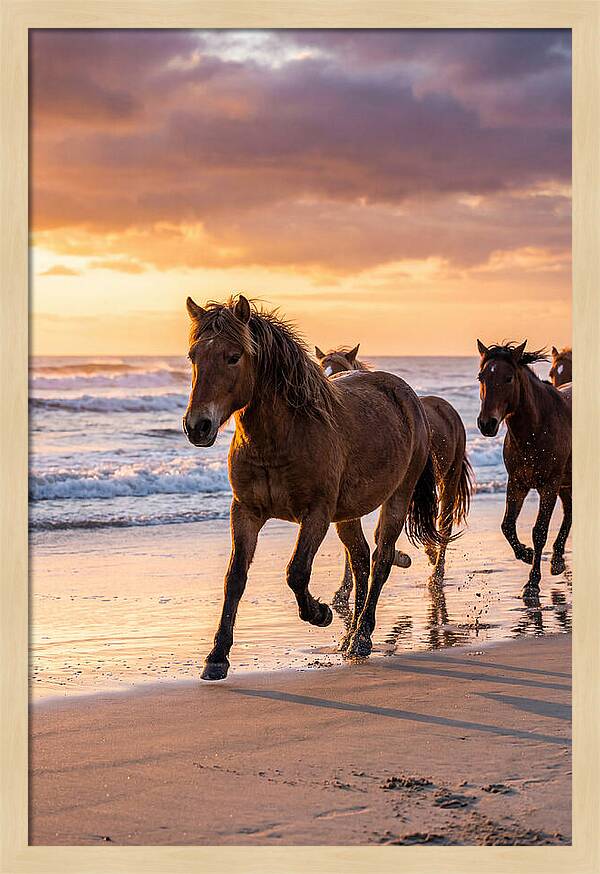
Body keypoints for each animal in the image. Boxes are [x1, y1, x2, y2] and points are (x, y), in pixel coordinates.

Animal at [183, 295, 443, 678]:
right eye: (193, 356)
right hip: (347, 515)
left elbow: (296, 572)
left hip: (396, 498)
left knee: (380, 559)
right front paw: (217, 657)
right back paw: (350, 638)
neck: (280, 438)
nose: (197, 426)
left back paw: (362, 636)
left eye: (233, 356)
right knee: (360, 560)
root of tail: (409, 397)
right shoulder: (245, 512)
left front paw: (320, 613)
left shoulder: (316, 514)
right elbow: (235, 578)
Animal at [316, 344, 473, 593]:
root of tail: (447, 408)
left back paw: (436, 576)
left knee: (444, 526)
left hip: (449, 479)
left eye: (341, 369)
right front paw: (344, 587)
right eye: (322, 368)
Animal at [476, 340, 571, 600]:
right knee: (569, 512)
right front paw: (526, 554)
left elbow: (539, 531)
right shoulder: (517, 483)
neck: (536, 429)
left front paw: (532, 582)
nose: (486, 424)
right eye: (481, 377)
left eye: (508, 378)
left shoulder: (549, 485)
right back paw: (557, 560)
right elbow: (507, 525)